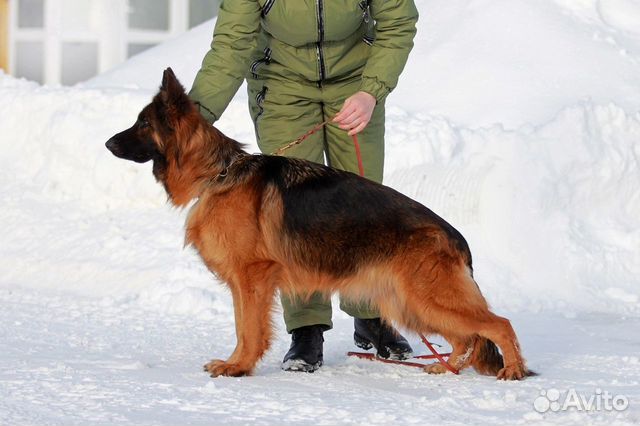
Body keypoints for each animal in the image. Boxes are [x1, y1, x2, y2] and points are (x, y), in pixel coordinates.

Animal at [105, 69, 532, 380]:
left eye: (142, 124)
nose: (108, 144)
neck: (217, 173)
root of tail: (455, 236)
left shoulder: (252, 278)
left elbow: (248, 329)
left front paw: (239, 366)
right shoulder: (246, 282)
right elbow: (244, 326)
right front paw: (237, 363)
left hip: (423, 298)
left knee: (498, 324)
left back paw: (512, 370)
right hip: (410, 302)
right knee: (468, 338)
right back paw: (446, 369)